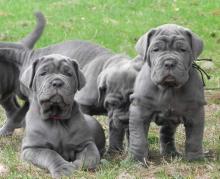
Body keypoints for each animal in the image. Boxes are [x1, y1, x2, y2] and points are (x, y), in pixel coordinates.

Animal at [129, 23, 206, 164]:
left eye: (182, 50)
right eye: (156, 50)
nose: (169, 62)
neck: (168, 88)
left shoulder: (195, 112)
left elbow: (194, 138)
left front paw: (195, 159)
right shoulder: (139, 112)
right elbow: (138, 138)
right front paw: (136, 160)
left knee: (167, 133)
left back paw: (170, 153)